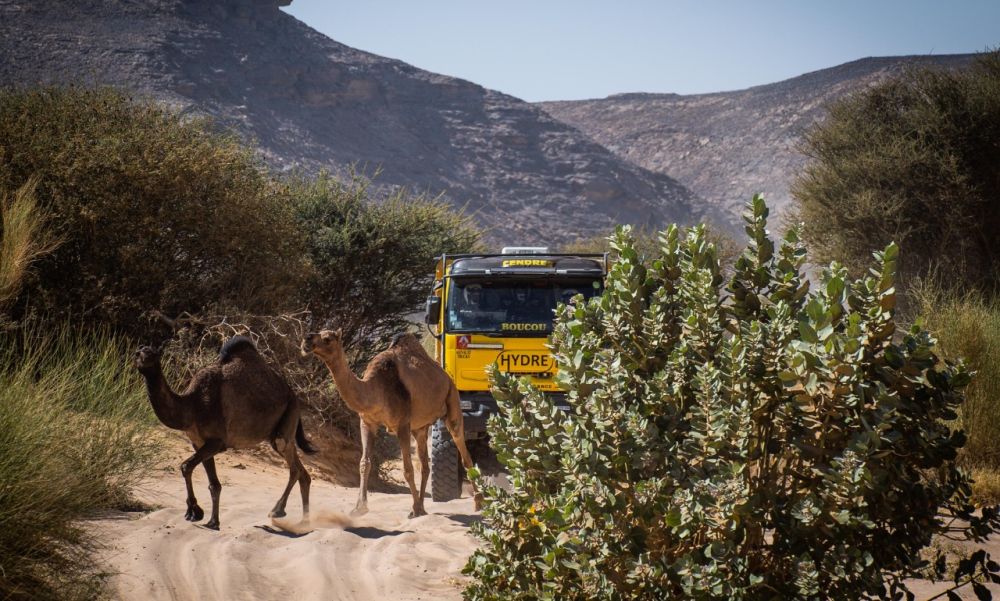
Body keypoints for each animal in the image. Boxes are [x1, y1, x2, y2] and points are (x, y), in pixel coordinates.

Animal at [134, 336, 316, 530]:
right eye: (139, 353)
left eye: (152, 354)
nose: (140, 357)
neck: (192, 405)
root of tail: (294, 395)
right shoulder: (199, 442)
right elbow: (213, 484)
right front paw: (212, 521)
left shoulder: (217, 442)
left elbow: (186, 466)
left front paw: (195, 512)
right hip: (283, 426)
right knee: (303, 473)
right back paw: (304, 523)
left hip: (289, 415)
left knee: (293, 466)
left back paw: (277, 511)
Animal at [303, 329, 480, 518]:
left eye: (327, 339)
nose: (306, 339)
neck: (376, 389)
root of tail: (446, 377)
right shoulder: (367, 422)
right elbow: (364, 463)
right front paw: (359, 508)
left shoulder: (402, 424)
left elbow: (407, 469)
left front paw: (414, 509)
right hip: (420, 428)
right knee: (425, 465)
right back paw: (423, 507)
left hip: (453, 399)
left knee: (461, 446)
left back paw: (478, 502)